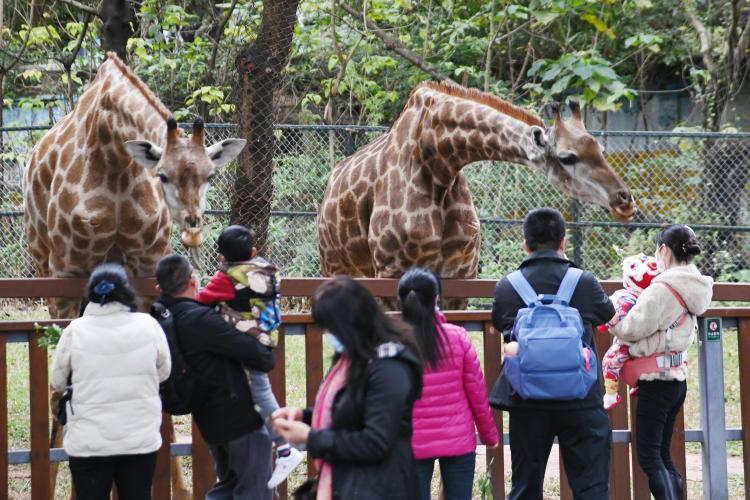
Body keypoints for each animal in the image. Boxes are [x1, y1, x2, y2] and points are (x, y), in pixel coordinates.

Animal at [316, 80, 636, 288]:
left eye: (601, 149)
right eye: (567, 157)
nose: (625, 200)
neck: (438, 161)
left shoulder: (462, 272)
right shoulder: (391, 270)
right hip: (334, 266)